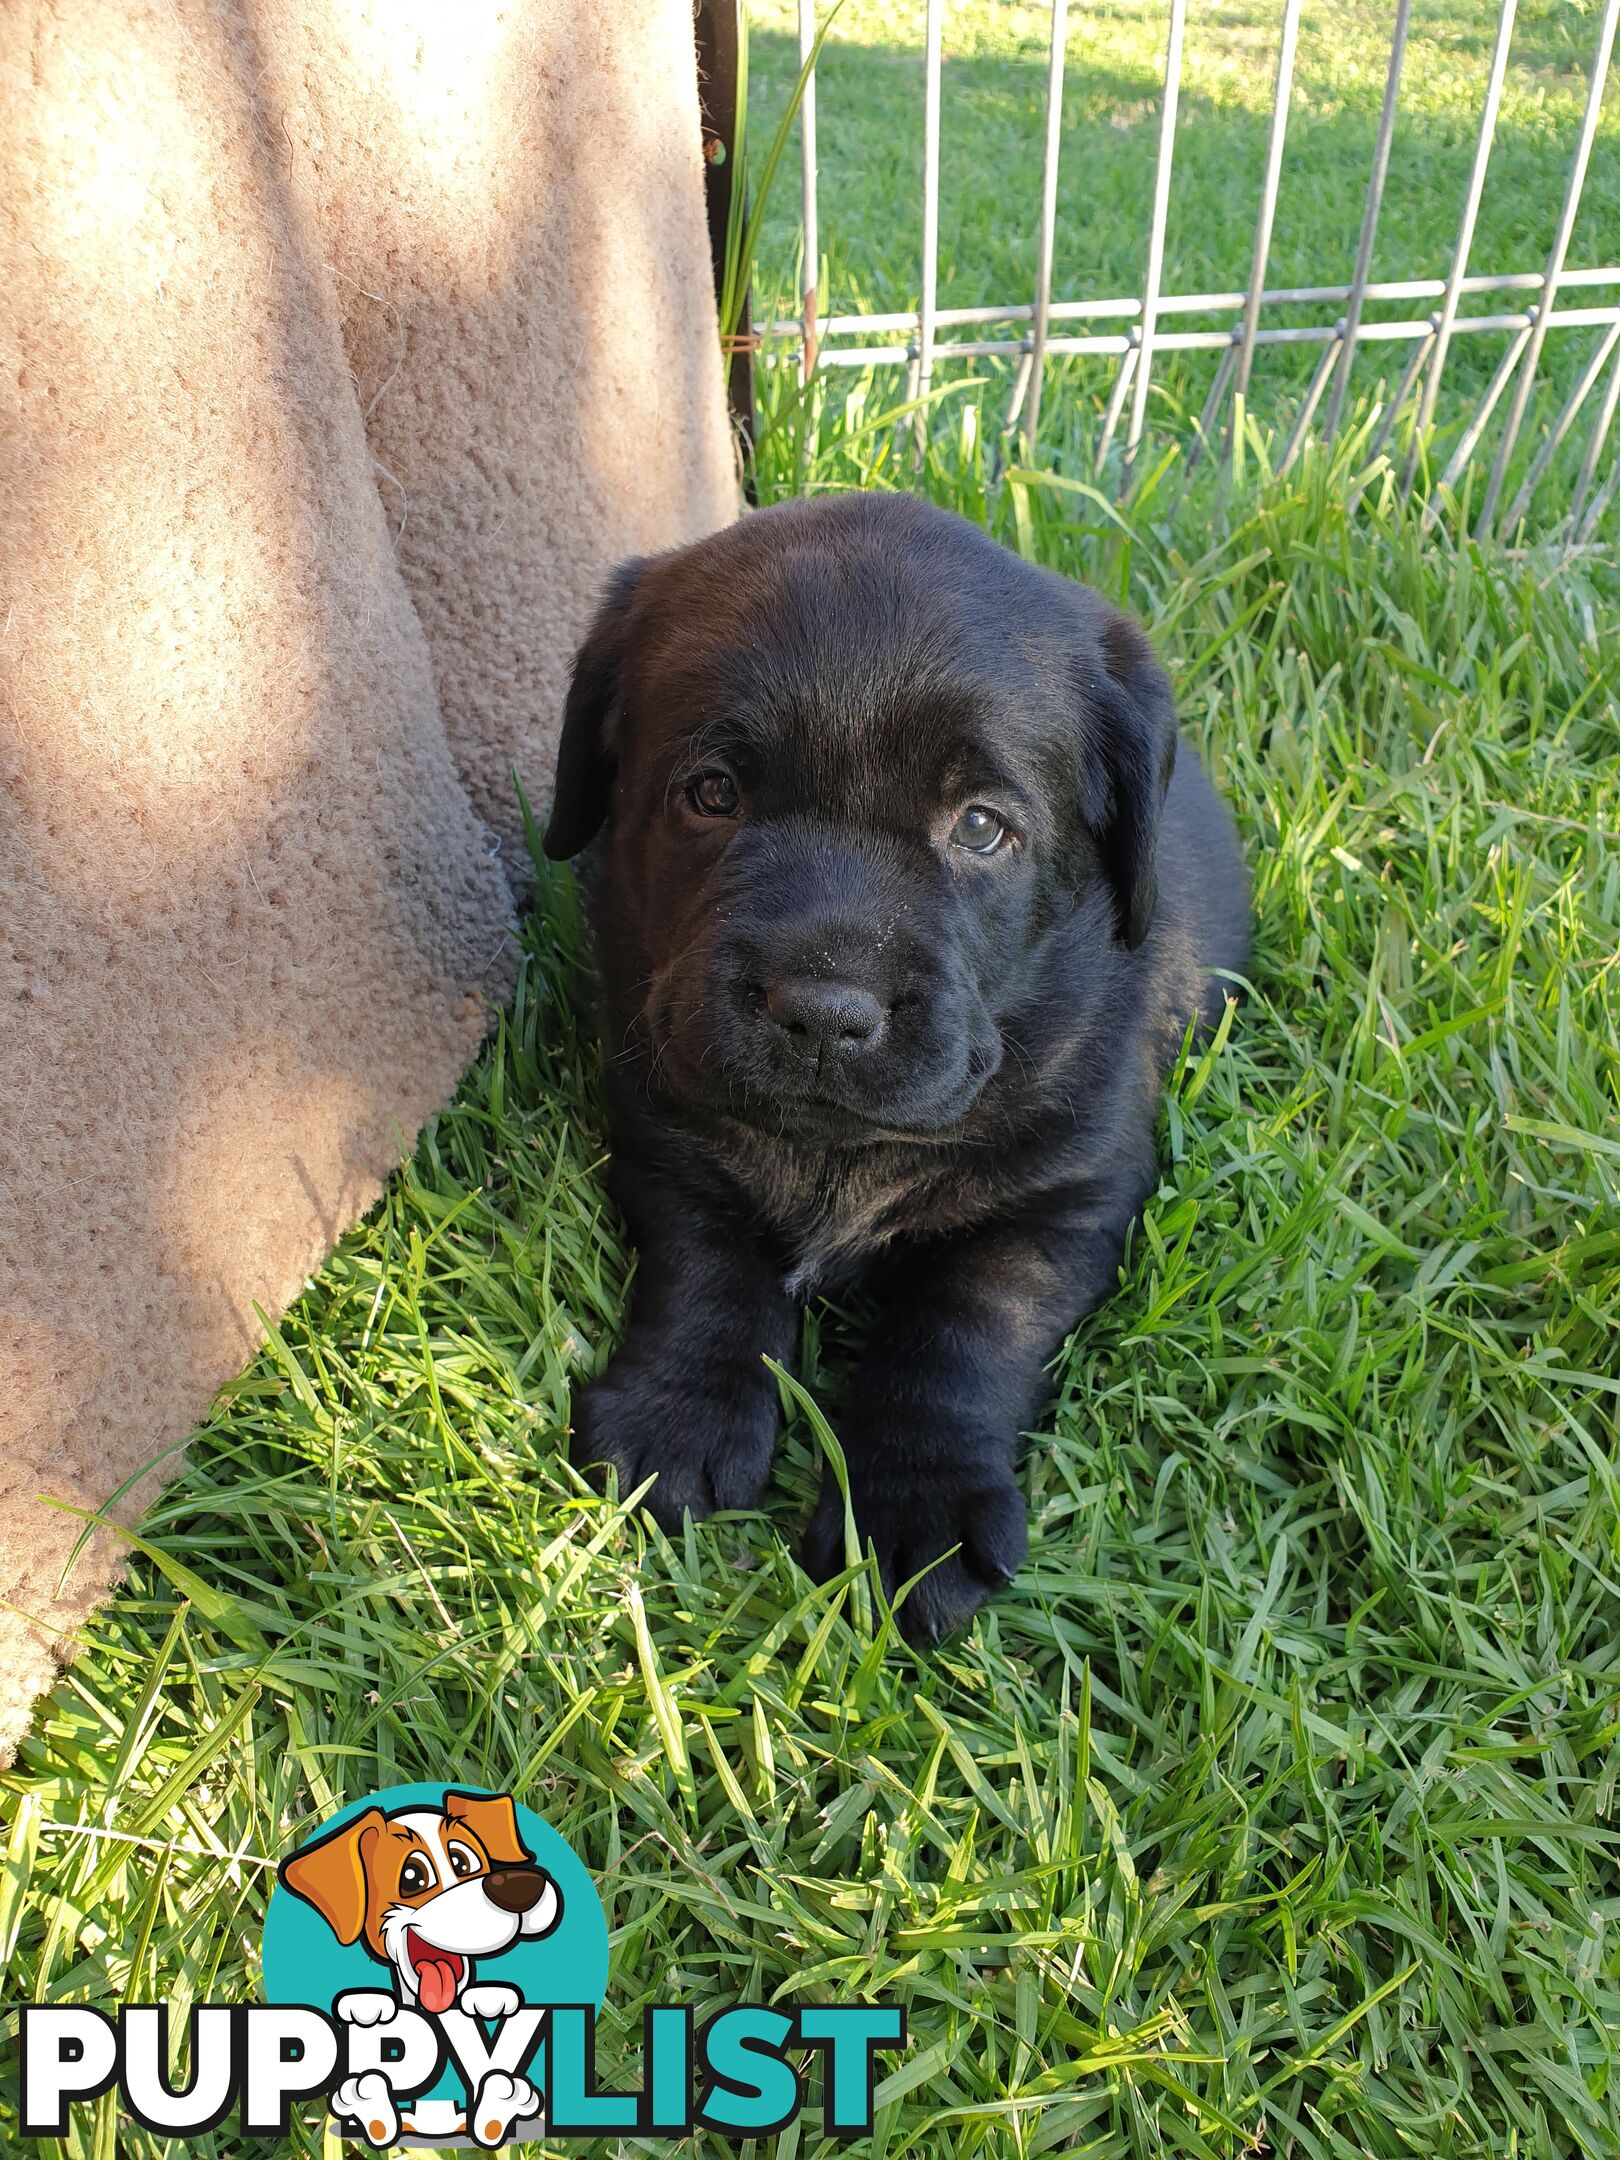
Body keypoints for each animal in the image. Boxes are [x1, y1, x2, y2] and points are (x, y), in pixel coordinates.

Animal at [546, 490, 1252, 1632]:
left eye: (982, 828)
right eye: (711, 794)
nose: (824, 1013)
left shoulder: (1065, 1196)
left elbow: (964, 1331)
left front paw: (916, 1502)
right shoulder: (666, 1125)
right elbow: (706, 1264)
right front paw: (679, 1412)